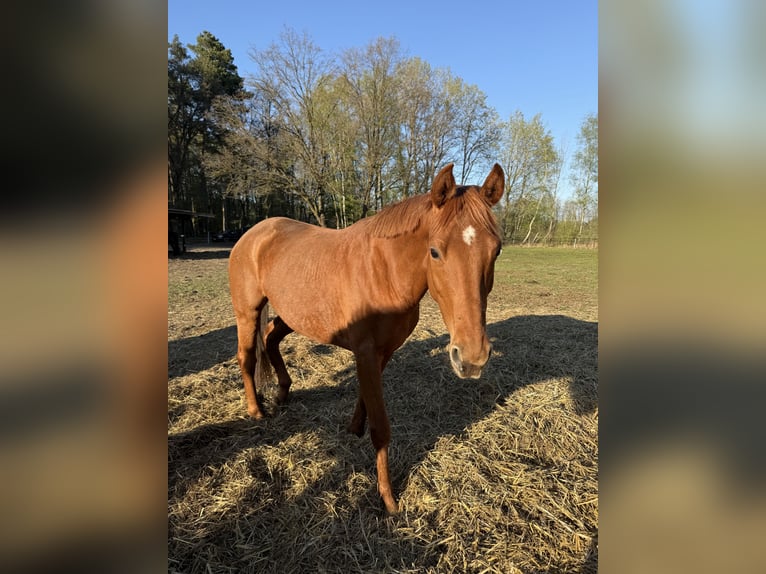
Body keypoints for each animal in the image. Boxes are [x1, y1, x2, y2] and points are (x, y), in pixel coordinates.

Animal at [228, 162, 505, 513]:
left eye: (496, 250)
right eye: (434, 251)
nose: (471, 358)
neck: (384, 272)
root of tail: (254, 233)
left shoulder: (383, 351)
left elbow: (365, 398)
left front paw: (354, 428)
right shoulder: (366, 351)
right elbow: (381, 428)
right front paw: (388, 498)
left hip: (293, 314)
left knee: (271, 339)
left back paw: (282, 393)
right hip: (247, 313)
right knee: (247, 355)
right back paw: (256, 410)